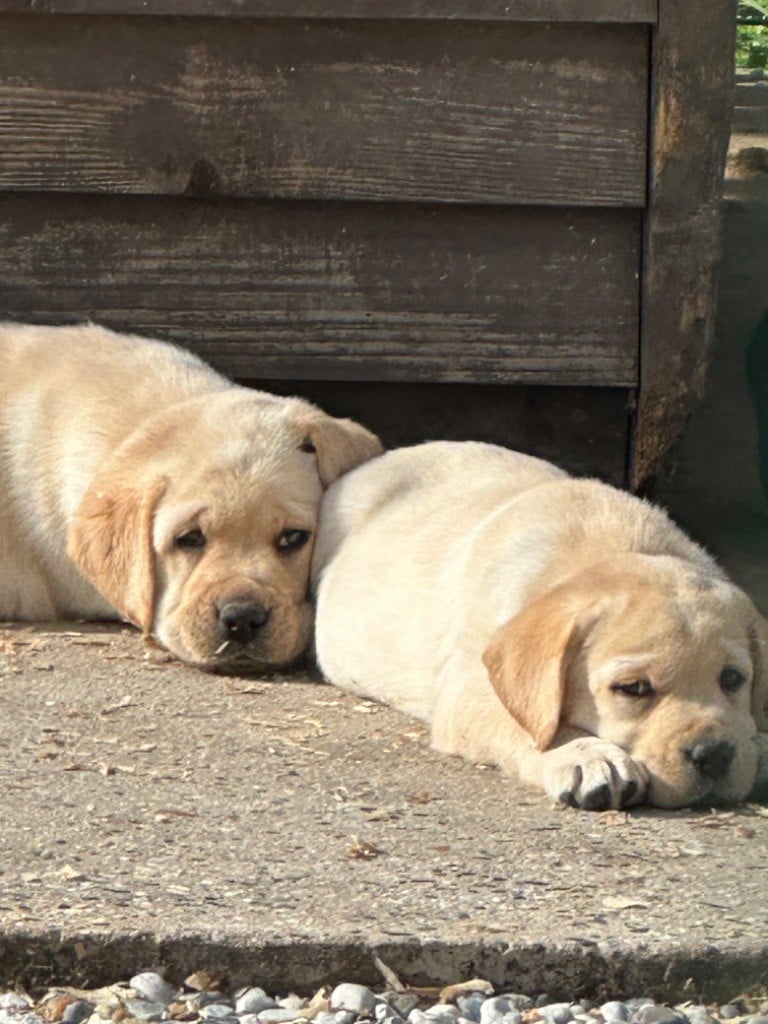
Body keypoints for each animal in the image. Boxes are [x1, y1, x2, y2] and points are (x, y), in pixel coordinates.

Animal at [313, 444, 768, 811]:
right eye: (633, 689)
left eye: (733, 679)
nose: (713, 755)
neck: (615, 545)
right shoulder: (467, 695)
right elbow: (527, 724)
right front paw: (586, 755)